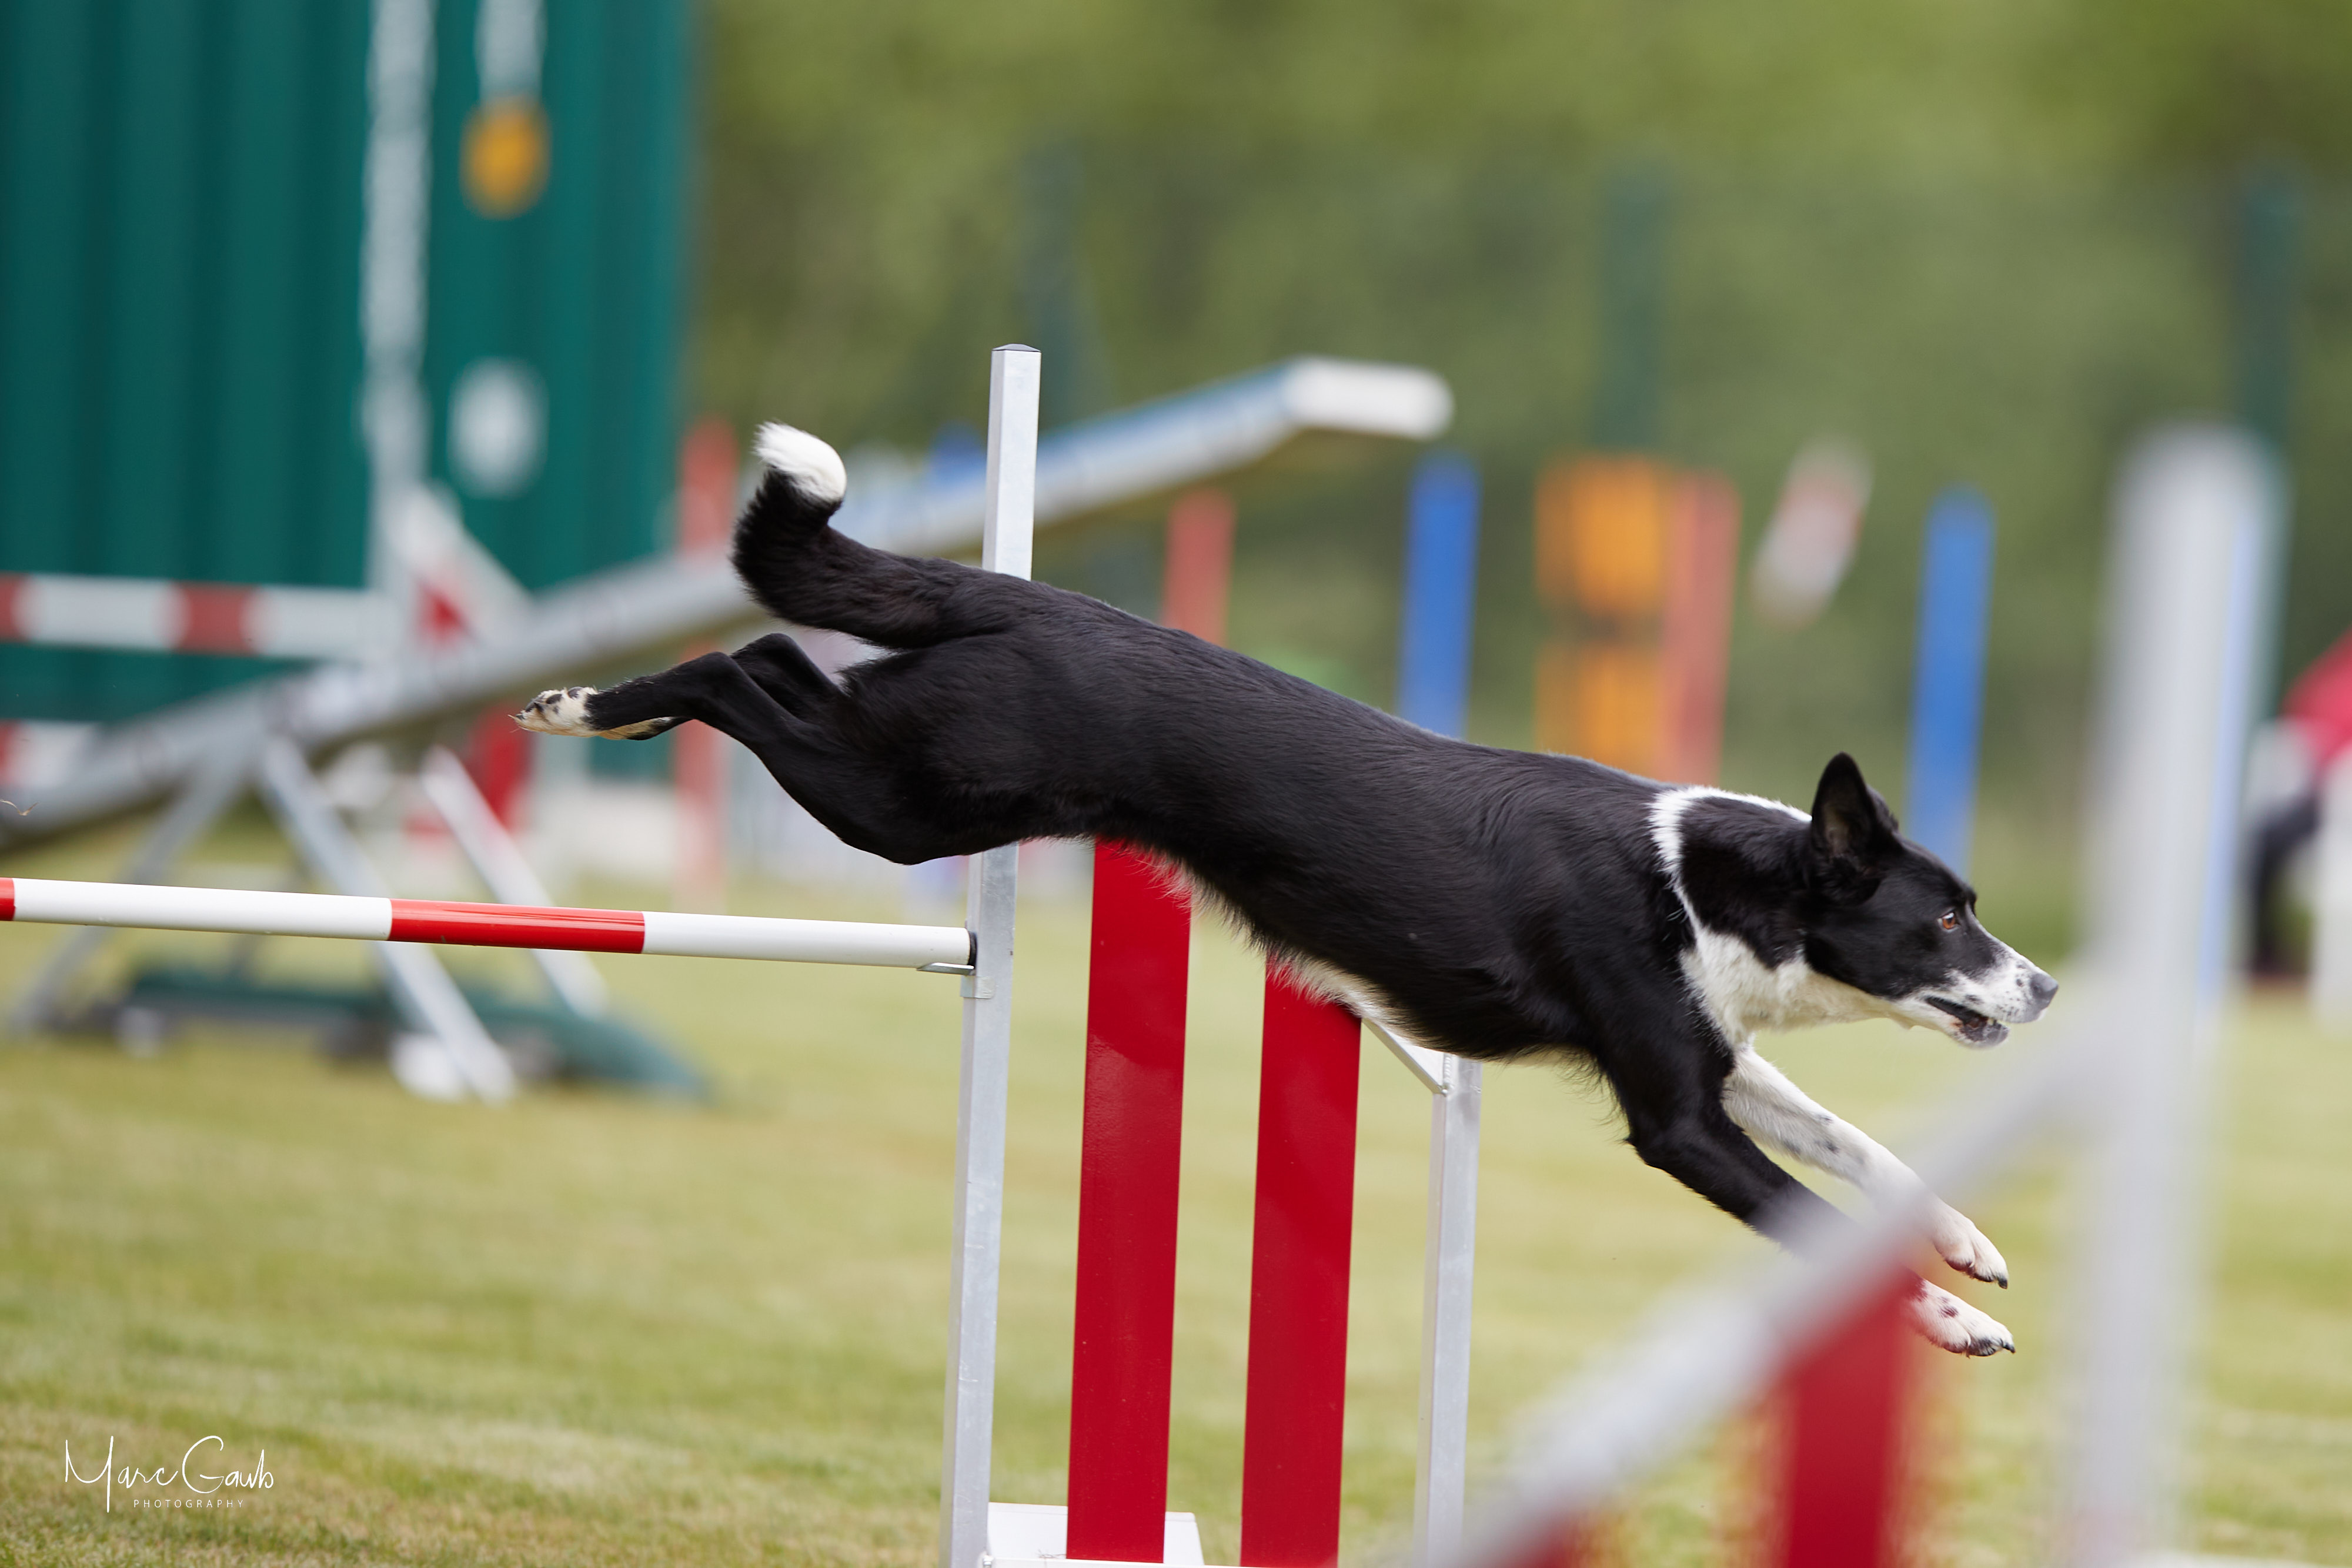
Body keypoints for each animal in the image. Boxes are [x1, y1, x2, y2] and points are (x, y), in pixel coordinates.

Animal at [519, 423, 2057, 1355]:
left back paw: (600, 705)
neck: (1699, 882)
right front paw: (1953, 1320)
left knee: (774, 654)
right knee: (739, 665)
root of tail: (1028, 596)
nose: (2046, 985)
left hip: (901, 770)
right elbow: (1811, 1215)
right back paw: (583, 705)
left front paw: (1969, 1242)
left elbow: (1858, 1145)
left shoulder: (1709, 1058)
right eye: (1942, 914)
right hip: (907, 800)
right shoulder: (1675, 1118)